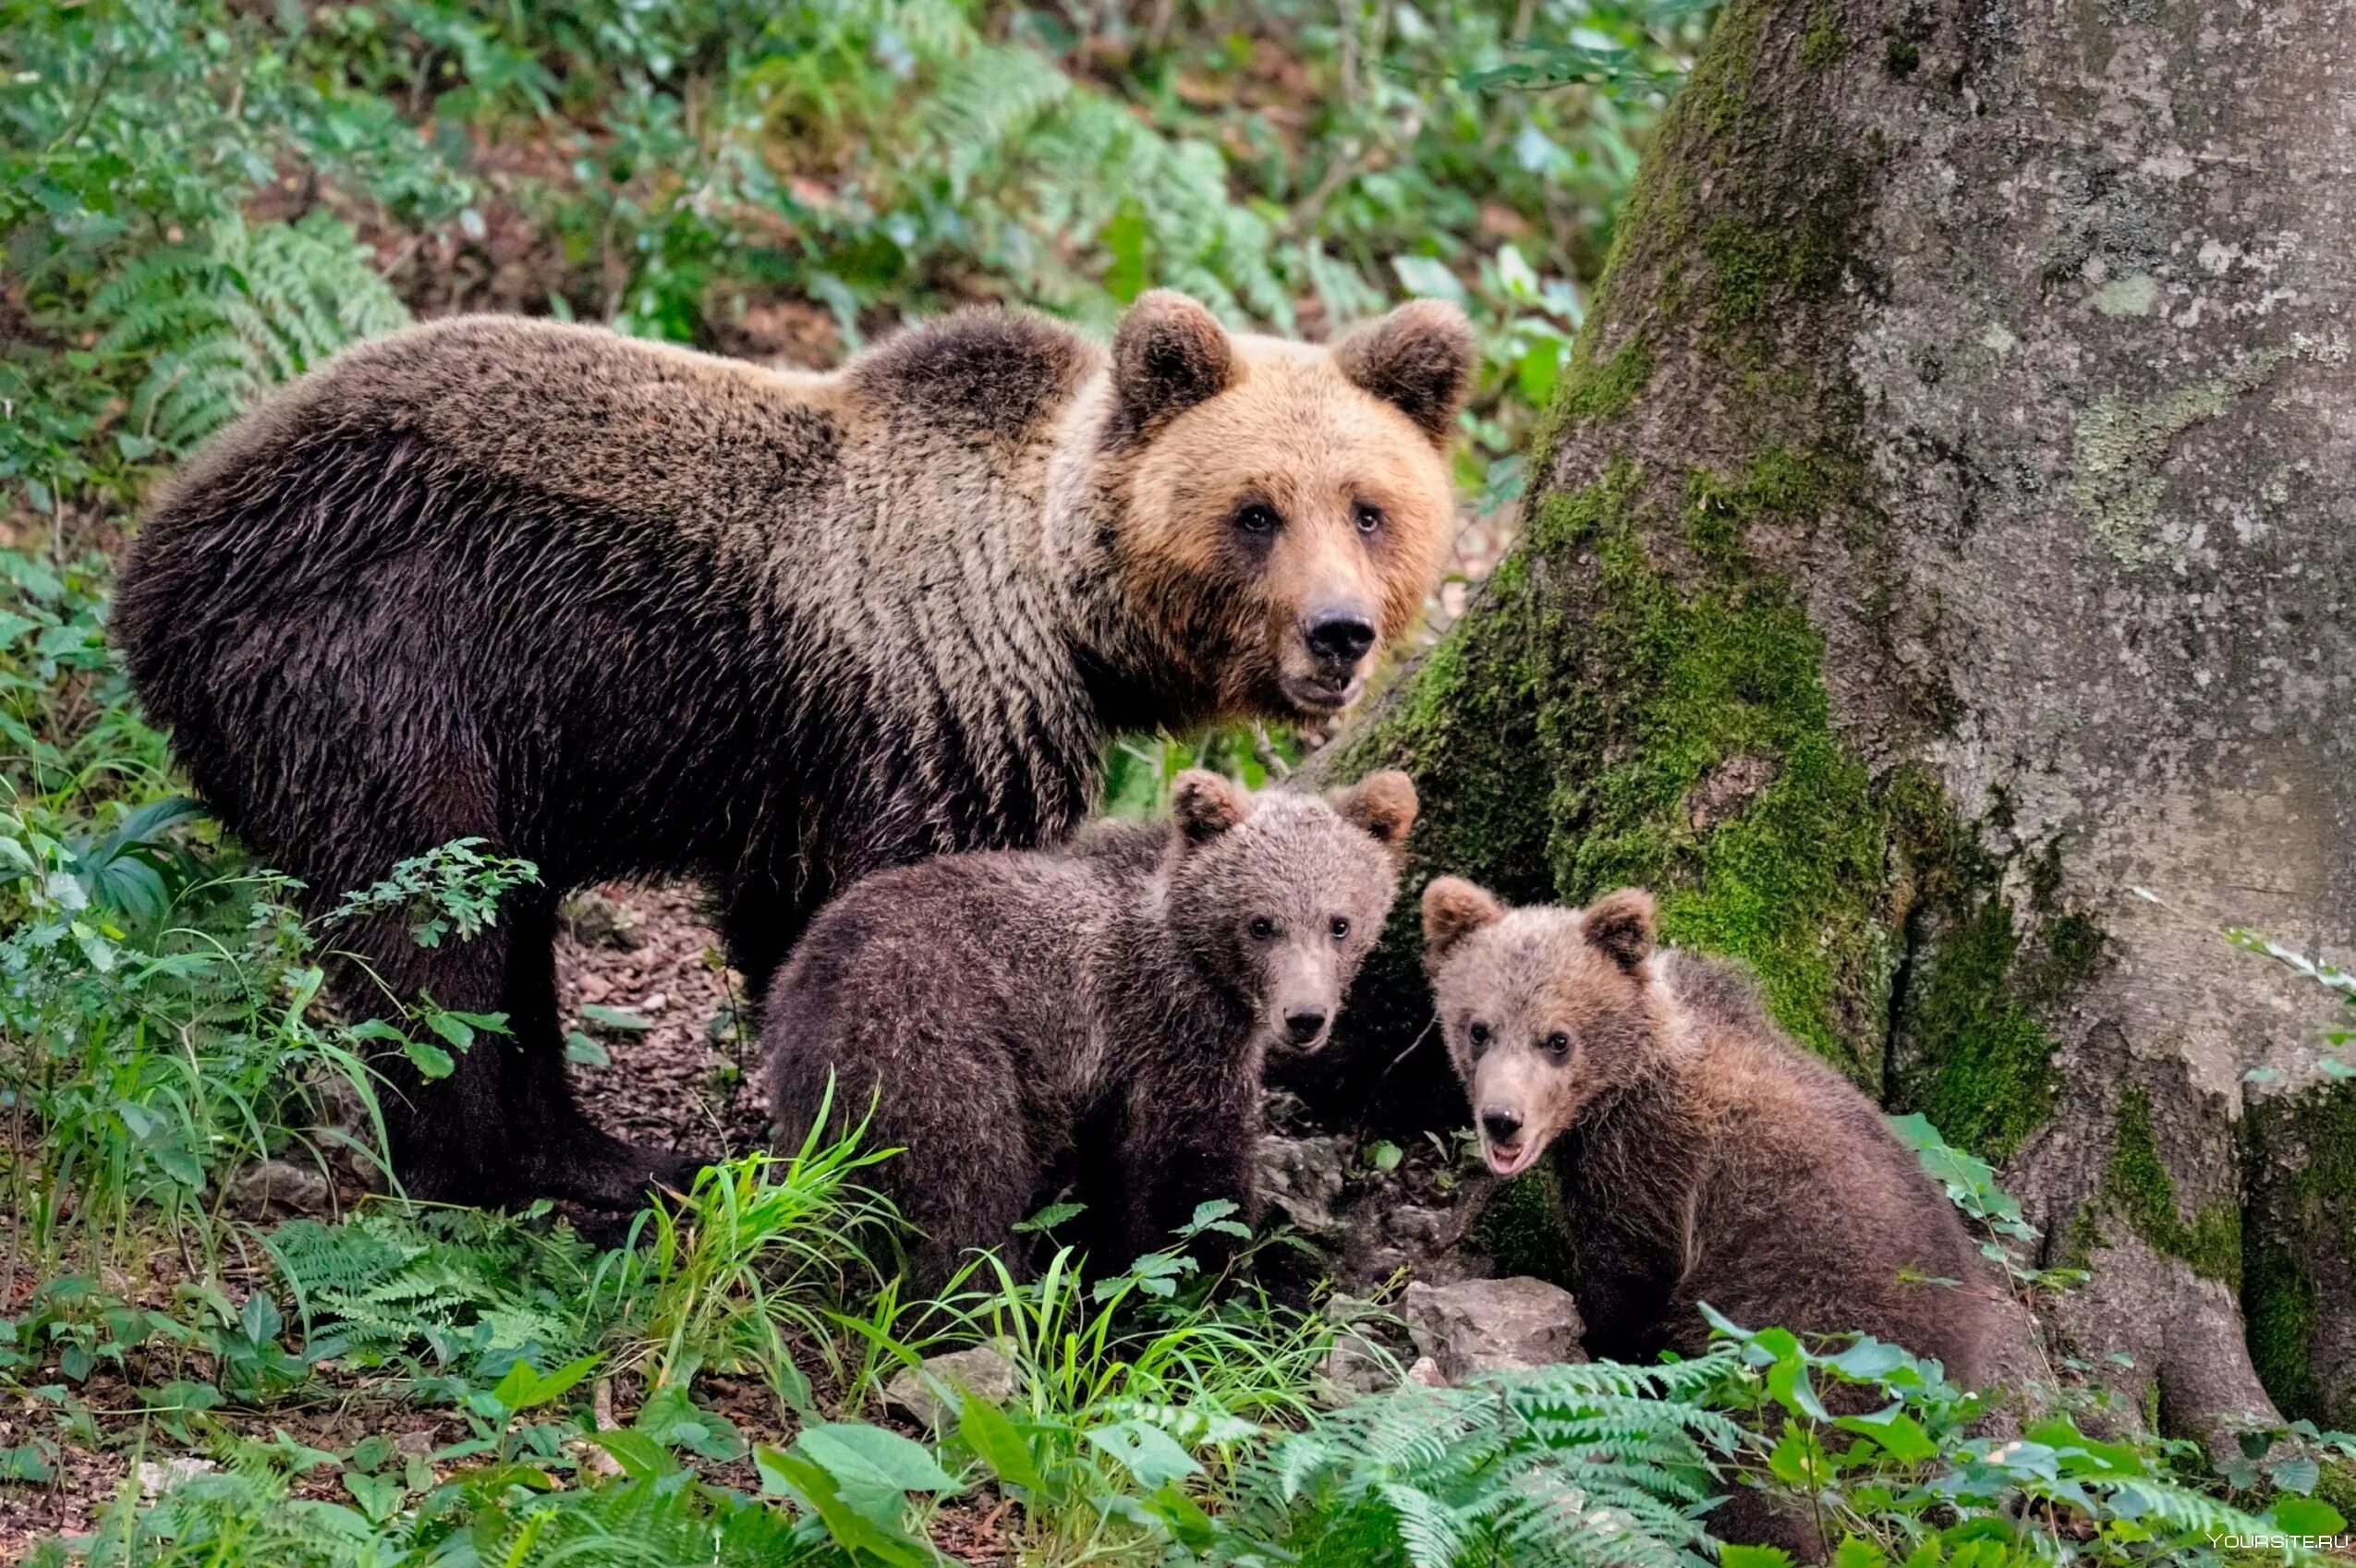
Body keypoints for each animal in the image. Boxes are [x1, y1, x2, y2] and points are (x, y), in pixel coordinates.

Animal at [119, 289, 1470, 1197]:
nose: (1340, 632)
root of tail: (159, 562)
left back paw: (605, 1153)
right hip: (386, 671)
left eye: (1369, 507)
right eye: (1255, 511)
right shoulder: (931, 719)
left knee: (506, 930)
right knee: (433, 929)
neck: (1055, 609)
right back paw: (508, 1169)